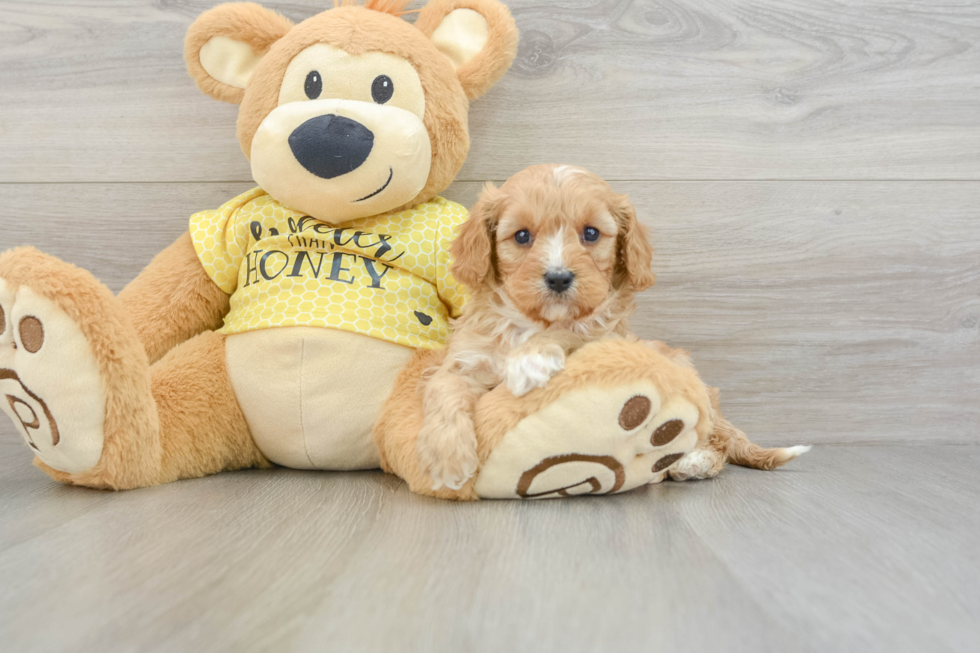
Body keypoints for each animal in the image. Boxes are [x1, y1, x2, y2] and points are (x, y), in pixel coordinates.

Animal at [418, 163, 808, 488]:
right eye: (522, 236)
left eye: (591, 233)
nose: (558, 278)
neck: (530, 322)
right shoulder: (467, 359)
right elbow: (443, 389)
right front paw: (448, 460)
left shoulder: (604, 338)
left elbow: (569, 332)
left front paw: (530, 360)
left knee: (714, 439)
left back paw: (692, 461)